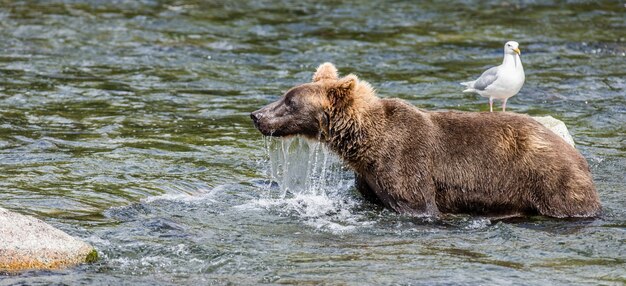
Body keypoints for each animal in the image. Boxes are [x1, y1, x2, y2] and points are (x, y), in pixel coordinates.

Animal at [249, 62, 600, 218]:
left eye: (290, 102)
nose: (256, 114)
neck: (367, 145)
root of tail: (577, 154)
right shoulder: (368, 179)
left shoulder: (406, 164)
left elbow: (418, 204)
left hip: (549, 180)